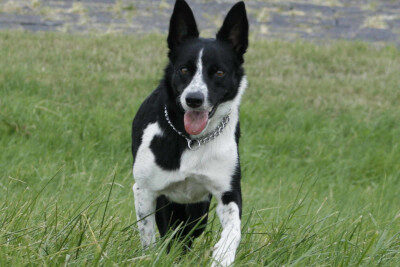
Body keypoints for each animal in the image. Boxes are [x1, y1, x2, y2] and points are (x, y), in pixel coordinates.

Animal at [131, 1, 248, 266]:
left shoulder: (227, 190)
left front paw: (223, 254)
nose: (194, 99)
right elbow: (149, 237)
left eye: (219, 73)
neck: (190, 141)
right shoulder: (145, 191)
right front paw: (153, 257)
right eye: (184, 69)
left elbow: (233, 228)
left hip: (198, 211)